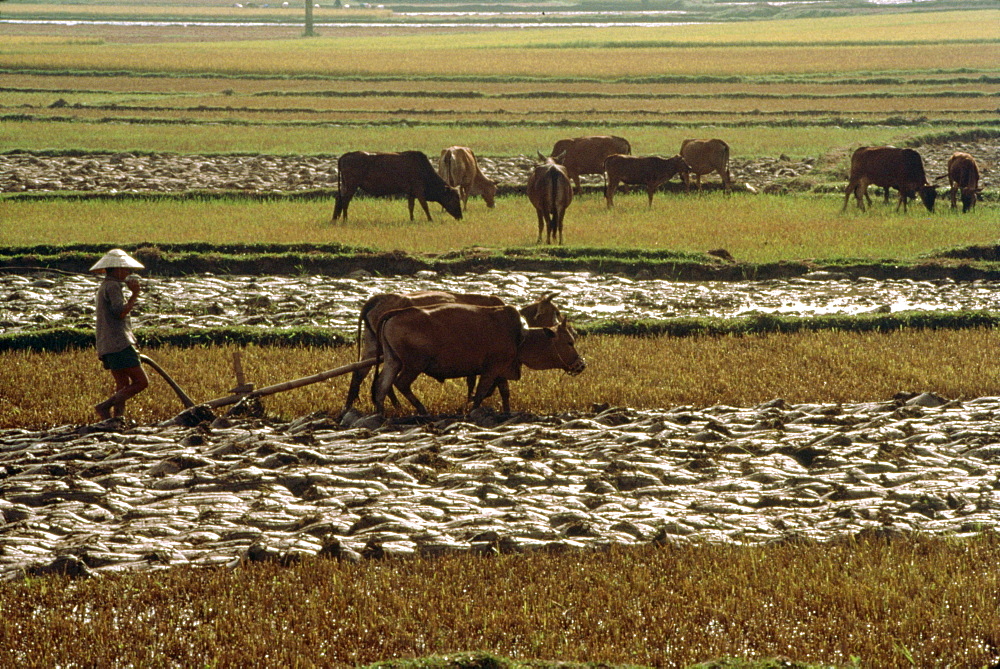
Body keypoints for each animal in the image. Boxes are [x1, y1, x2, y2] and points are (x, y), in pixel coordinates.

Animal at [334, 151, 462, 222]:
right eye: (454, 199)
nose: (460, 216)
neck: (423, 169)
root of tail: (345, 156)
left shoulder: (411, 192)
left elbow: (411, 207)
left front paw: (412, 219)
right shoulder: (419, 190)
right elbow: (425, 206)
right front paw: (430, 219)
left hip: (345, 185)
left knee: (339, 199)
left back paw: (335, 218)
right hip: (352, 185)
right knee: (345, 201)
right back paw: (345, 219)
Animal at [342, 290, 564, 414]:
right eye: (554, 312)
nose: (559, 328)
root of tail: (378, 299)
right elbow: (477, 383)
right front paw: (471, 400)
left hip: (373, 348)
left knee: (361, 373)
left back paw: (351, 407)